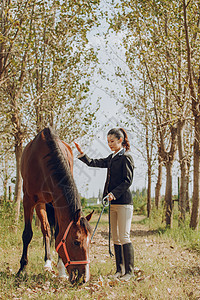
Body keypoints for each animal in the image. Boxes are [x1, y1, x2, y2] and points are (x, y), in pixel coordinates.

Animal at [17, 126, 93, 284]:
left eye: (90, 242)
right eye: (76, 242)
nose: (83, 278)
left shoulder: (56, 202)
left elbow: (58, 232)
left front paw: (61, 271)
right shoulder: (28, 200)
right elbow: (27, 234)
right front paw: (22, 269)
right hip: (40, 203)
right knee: (46, 229)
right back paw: (46, 262)